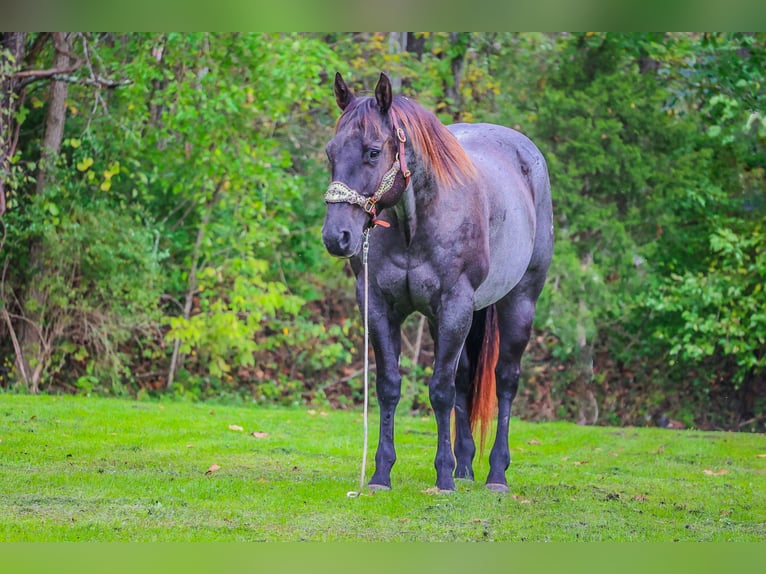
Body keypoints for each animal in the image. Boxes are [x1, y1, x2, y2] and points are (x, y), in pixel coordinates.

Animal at [322, 72, 553, 493]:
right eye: (332, 153)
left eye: (373, 152)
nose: (337, 236)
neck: (416, 222)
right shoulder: (379, 307)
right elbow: (390, 386)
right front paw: (381, 473)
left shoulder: (454, 306)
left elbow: (440, 390)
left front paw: (443, 475)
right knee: (464, 379)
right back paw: (465, 467)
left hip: (519, 302)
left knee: (505, 380)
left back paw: (496, 473)